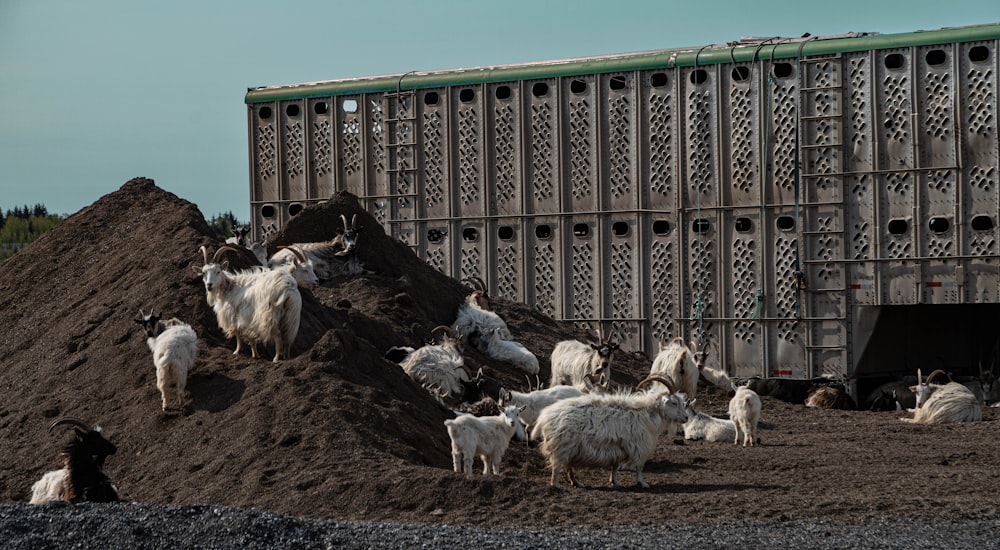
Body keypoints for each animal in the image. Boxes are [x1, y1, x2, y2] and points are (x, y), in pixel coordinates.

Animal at [532, 378, 688, 490]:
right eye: (674, 403)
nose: (686, 418)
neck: (647, 413)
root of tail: (545, 416)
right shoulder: (639, 446)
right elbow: (639, 467)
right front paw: (642, 483)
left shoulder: (618, 446)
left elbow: (615, 465)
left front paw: (615, 481)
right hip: (562, 445)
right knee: (557, 466)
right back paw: (555, 485)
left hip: (570, 447)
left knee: (568, 465)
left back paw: (575, 482)